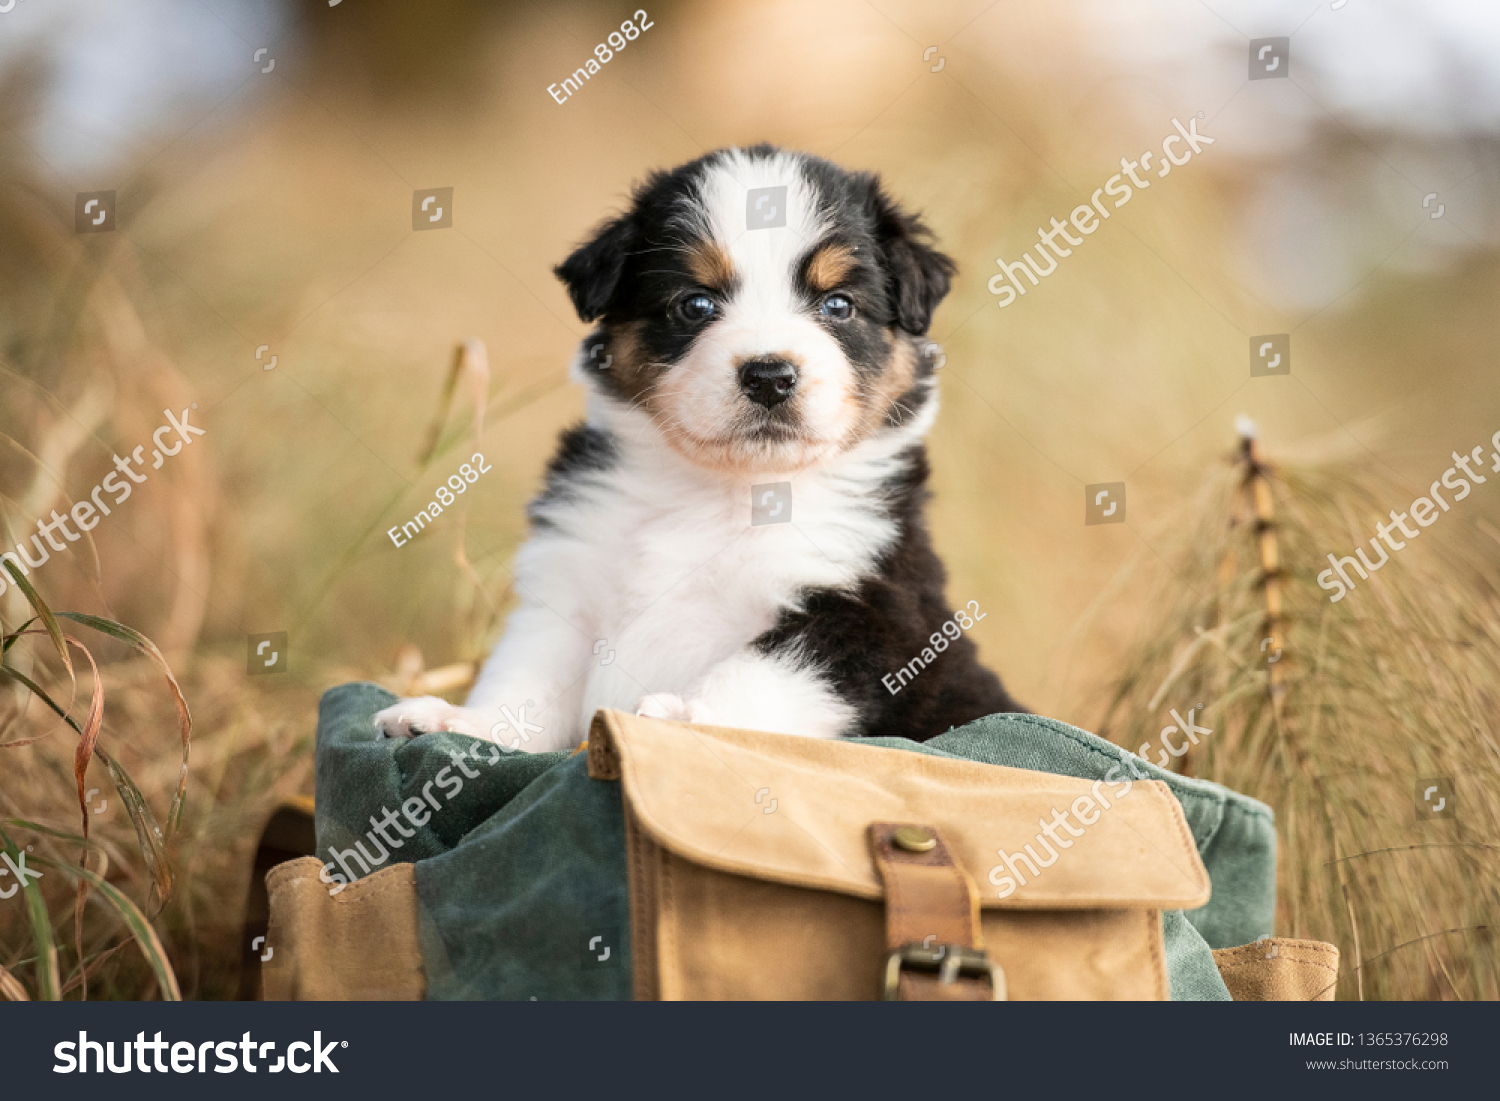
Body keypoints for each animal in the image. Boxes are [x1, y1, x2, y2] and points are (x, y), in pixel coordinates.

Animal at [381, 142, 1026, 756]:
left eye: (838, 304)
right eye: (695, 304)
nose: (769, 376)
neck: (722, 493)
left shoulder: (869, 611)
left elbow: (758, 672)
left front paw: (685, 717)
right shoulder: (569, 589)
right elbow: (524, 681)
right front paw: (459, 722)